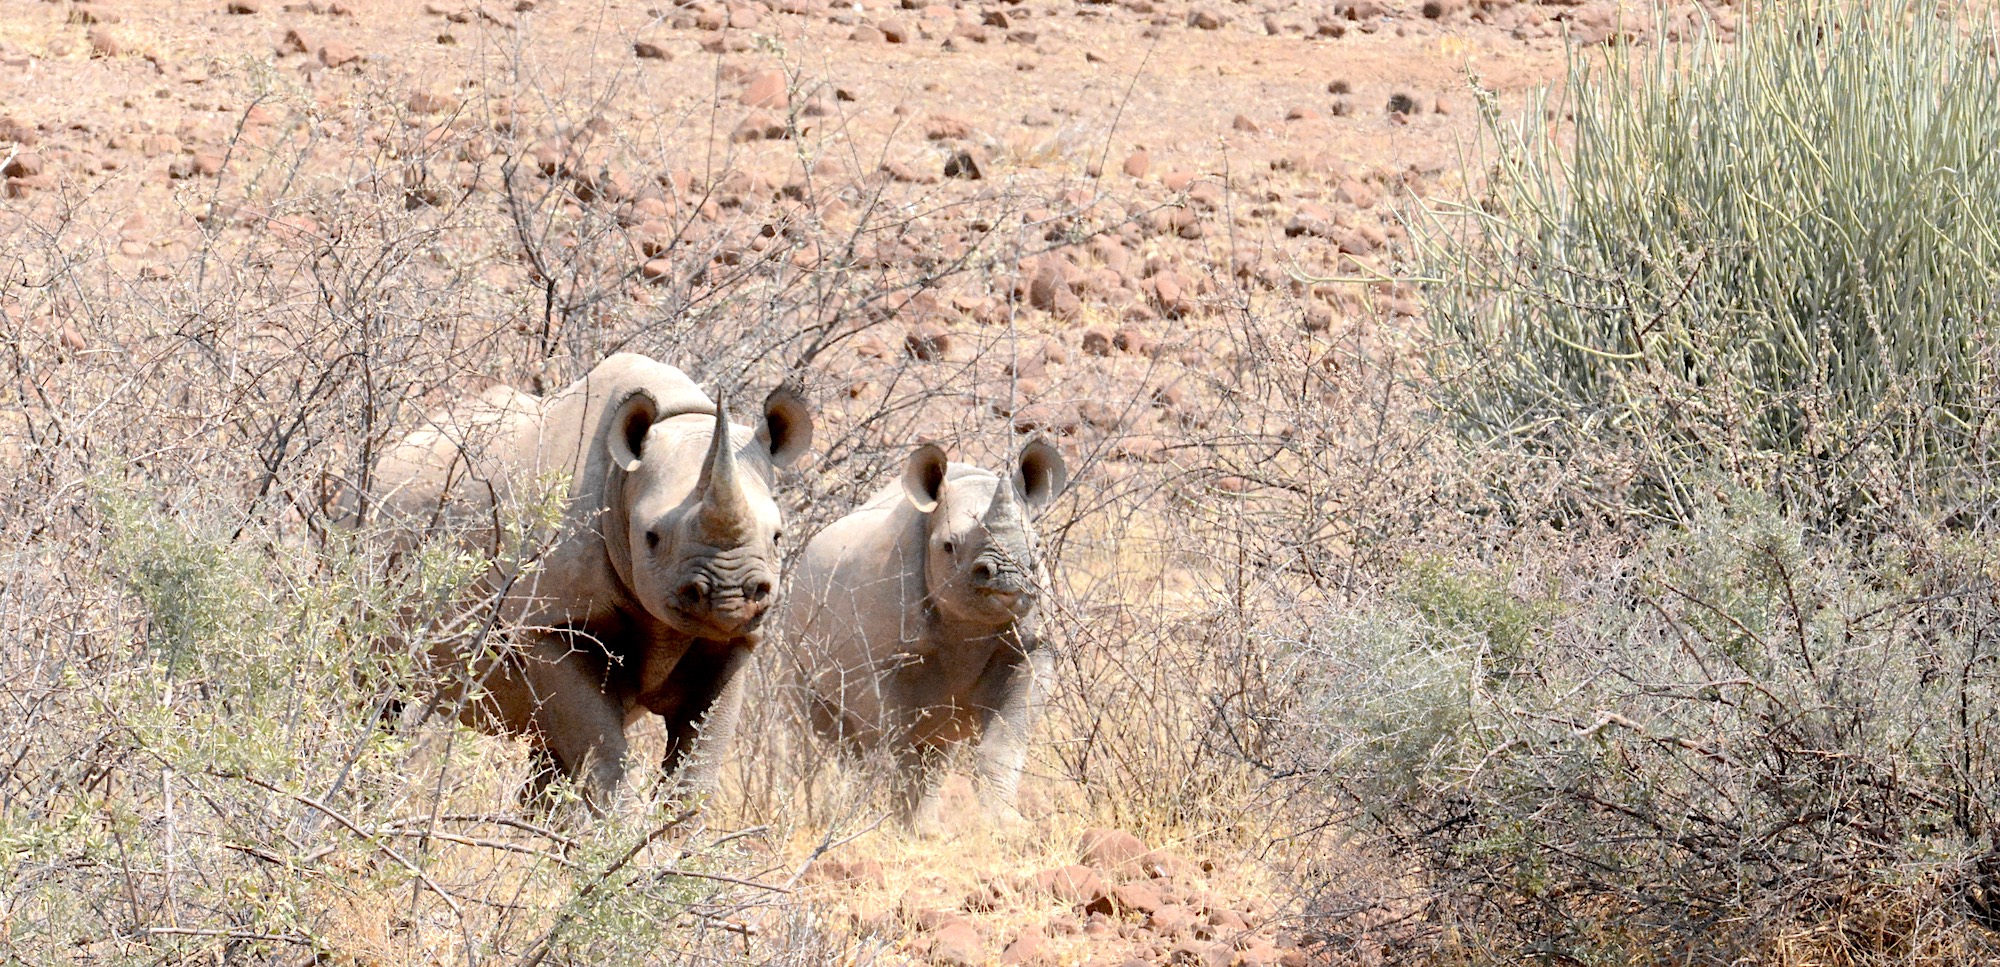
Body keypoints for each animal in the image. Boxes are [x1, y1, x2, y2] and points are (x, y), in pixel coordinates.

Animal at [369, 353, 811, 810]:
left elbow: (696, 769)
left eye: (778, 537)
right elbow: (605, 757)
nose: (730, 597)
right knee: (377, 689)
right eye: (651, 537)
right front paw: (622, 827)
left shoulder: (734, 640)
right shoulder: (552, 623)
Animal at [785, 439, 1068, 826]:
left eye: (1038, 546)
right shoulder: (877, 663)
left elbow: (1004, 742)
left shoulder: (1031, 648)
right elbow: (895, 746)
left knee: (938, 743)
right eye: (949, 546)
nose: (1009, 576)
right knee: (836, 739)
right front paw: (898, 826)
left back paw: (925, 826)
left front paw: (1007, 825)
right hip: (792, 627)